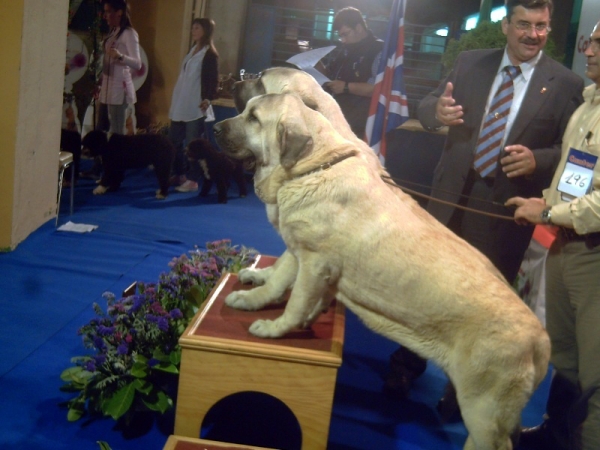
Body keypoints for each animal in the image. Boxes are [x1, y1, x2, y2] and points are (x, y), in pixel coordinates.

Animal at [213, 92, 552, 450]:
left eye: (253, 118)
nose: (215, 128)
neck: (314, 163)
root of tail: (541, 340)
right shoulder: (300, 251)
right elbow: (280, 282)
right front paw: (257, 296)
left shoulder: (313, 261)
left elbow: (294, 302)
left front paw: (274, 328)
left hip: (484, 411)